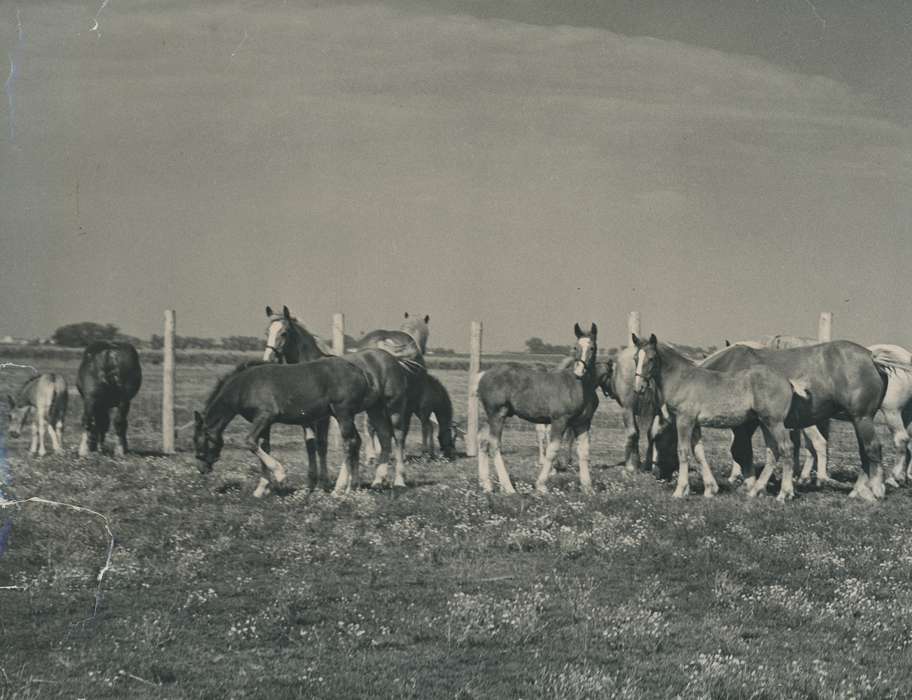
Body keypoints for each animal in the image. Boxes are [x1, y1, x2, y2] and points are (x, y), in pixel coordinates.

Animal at [194, 349, 411, 497]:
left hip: (344, 411)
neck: (244, 385)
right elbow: (263, 447)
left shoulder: (265, 416)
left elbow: (249, 442)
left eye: (199, 442)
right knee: (363, 440)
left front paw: (280, 475)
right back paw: (354, 485)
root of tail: (361, 372)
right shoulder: (264, 423)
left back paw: (341, 488)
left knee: (353, 442)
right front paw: (261, 489)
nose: (202, 469)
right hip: (358, 412)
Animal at [476, 323, 612, 495]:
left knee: (482, 440)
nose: (579, 371)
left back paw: (487, 485)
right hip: (497, 414)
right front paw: (541, 485)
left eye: (592, 348)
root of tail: (483, 375)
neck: (580, 386)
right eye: (575, 347)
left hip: (491, 415)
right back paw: (508, 487)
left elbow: (583, 452)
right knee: (494, 445)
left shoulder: (583, 423)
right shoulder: (559, 420)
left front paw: (588, 488)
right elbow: (552, 450)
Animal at [633, 334, 810, 500]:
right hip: (765, 423)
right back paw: (755, 491)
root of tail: (788, 381)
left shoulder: (684, 421)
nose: (638, 388)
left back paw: (784, 494)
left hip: (775, 423)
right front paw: (710, 489)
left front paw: (680, 491)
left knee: (786, 448)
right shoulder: (695, 424)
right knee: (773, 451)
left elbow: (683, 451)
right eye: (635, 358)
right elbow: (699, 453)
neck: (683, 379)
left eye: (651, 358)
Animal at [697, 340, 889, 501]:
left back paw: (875, 490)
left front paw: (750, 485)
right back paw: (857, 490)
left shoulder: (744, 425)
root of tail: (871, 357)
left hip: (862, 418)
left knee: (872, 448)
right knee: (864, 452)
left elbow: (741, 451)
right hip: (858, 421)